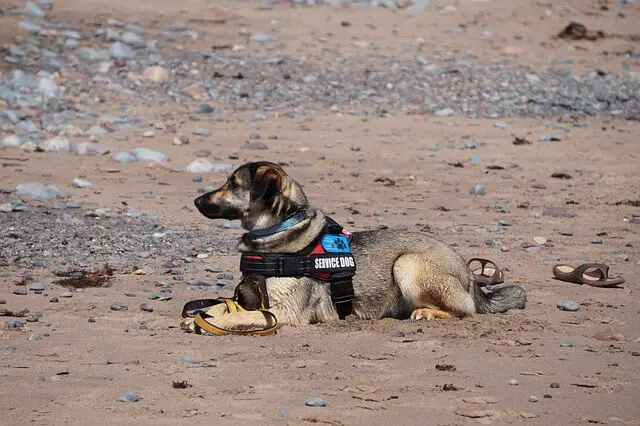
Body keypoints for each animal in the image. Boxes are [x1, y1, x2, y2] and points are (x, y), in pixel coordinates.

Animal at [190, 161, 524, 328]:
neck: (280, 232)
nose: (195, 201)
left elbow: (241, 315)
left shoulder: (285, 312)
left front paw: (206, 322)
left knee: (465, 310)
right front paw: (204, 315)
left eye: (233, 184)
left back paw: (429, 314)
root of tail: (471, 277)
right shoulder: (250, 297)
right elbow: (222, 306)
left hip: (408, 263)